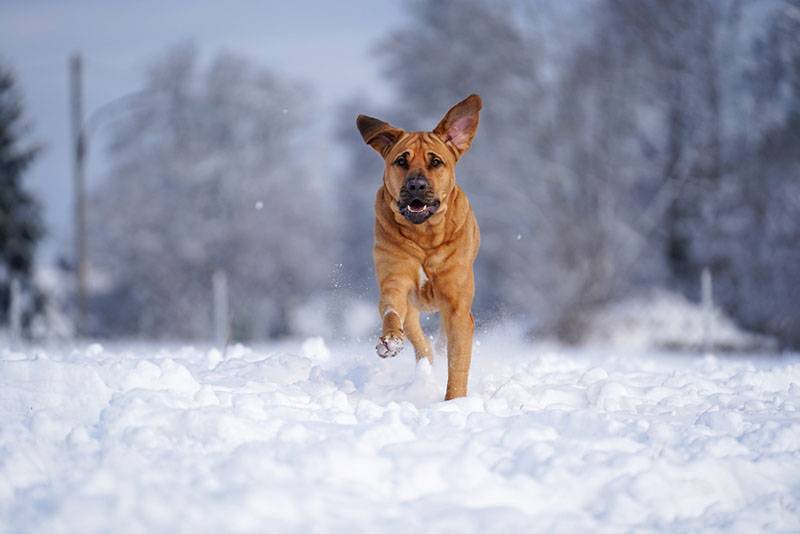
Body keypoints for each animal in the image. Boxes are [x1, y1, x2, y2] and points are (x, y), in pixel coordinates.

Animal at [356, 94, 482, 400]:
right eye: (401, 160)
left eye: (435, 161)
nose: (416, 185)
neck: (425, 236)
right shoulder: (395, 282)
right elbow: (391, 310)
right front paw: (390, 340)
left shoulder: (458, 306)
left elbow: (458, 362)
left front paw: (454, 402)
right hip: (413, 312)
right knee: (422, 344)